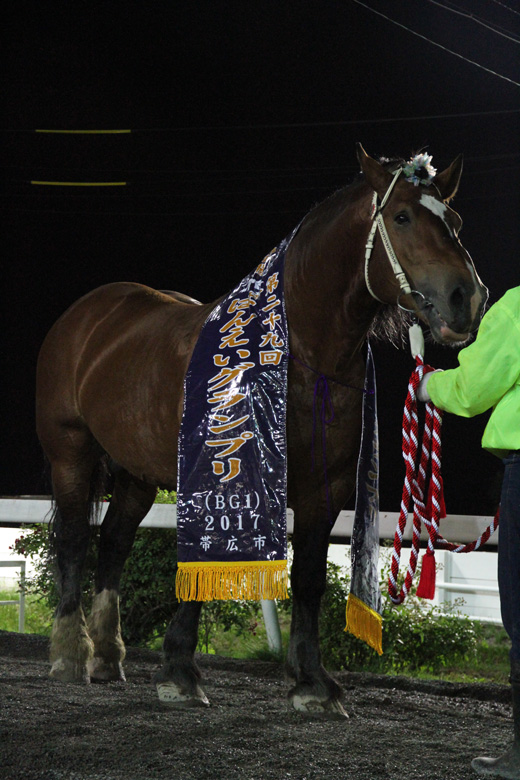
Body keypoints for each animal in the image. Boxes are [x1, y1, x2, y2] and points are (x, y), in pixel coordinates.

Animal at [35, 144, 488, 716]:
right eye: (403, 216)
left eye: (454, 220)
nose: (466, 298)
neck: (298, 358)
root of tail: (88, 316)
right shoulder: (224, 476)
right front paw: (180, 670)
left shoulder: (326, 487)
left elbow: (309, 577)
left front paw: (312, 681)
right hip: (69, 451)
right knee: (75, 540)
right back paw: (71, 654)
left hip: (137, 472)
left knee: (115, 542)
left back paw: (108, 655)